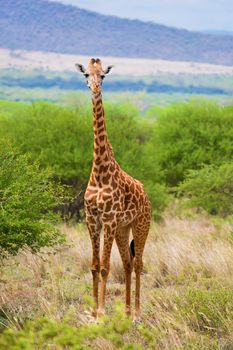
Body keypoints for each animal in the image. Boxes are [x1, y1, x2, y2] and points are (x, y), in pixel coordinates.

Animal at [75, 58, 151, 322]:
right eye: (86, 74)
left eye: (103, 76)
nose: (95, 88)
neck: (99, 172)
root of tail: (146, 195)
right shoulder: (92, 219)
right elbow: (94, 266)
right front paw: (92, 312)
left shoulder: (107, 219)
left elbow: (106, 267)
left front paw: (101, 311)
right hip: (122, 228)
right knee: (128, 263)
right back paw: (126, 312)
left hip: (141, 224)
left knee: (138, 264)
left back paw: (137, 313)